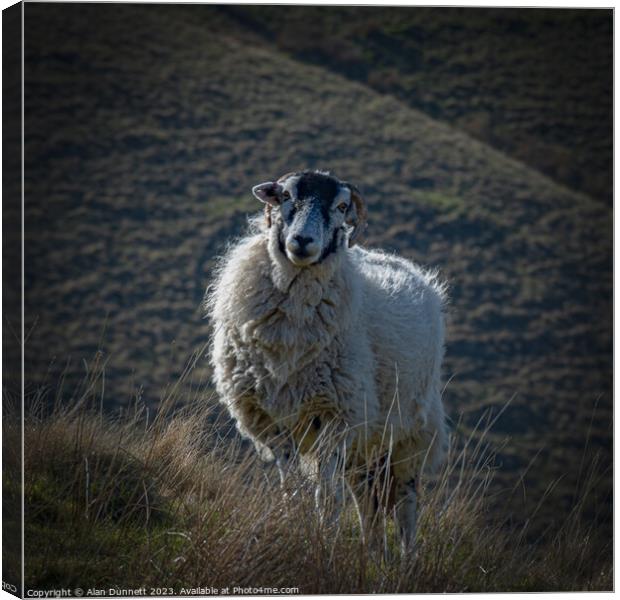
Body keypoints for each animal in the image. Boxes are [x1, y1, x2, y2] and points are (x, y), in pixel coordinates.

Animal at [206, 169, 448, 548]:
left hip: (411, 433)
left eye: (342, 206)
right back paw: (371, 553)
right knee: (368, 502)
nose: (302, 240)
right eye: (284, 196)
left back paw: (406, 557)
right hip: (366, 444)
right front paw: (291, 524)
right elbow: (290, 487)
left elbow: (327, 497)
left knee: (406, 505)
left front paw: (324, 537)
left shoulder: (336, 417)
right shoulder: (276, 423)